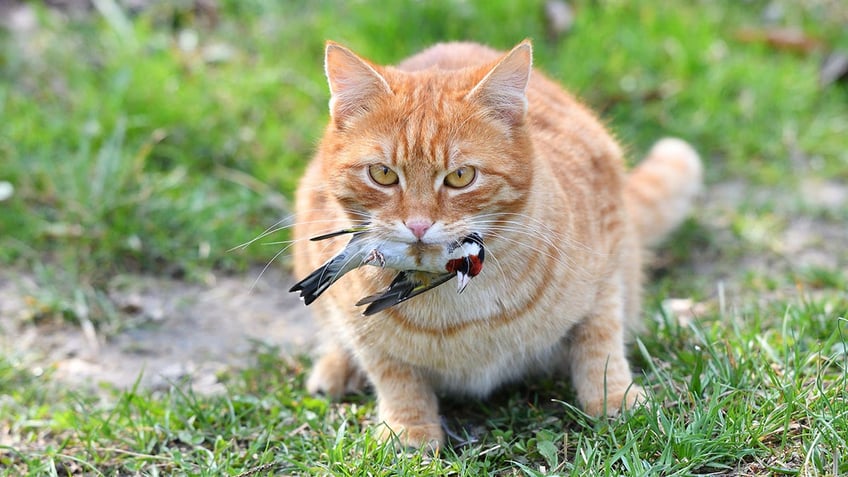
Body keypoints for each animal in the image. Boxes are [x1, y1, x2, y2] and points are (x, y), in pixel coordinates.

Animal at [292, 39, 704, 448]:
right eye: (383, 174)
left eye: (460, 176)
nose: (419, 225)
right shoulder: (362, 328)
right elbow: (394, 375)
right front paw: (408, 430)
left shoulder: (607, 264)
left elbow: (600, 344)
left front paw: (615, 398)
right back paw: (336, 368)